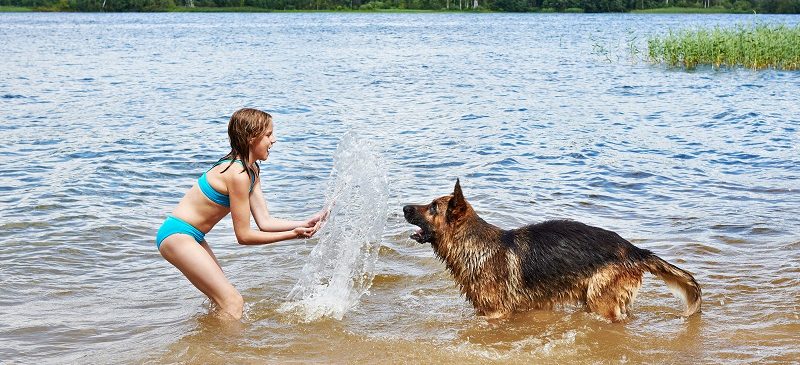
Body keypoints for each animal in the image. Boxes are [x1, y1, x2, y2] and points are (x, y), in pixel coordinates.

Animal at [400, 178, 700, 320]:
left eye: (433, 207)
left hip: (601, 302)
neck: (474, 245)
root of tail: (633, 249)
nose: (404, 207)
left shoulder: (497, 314)